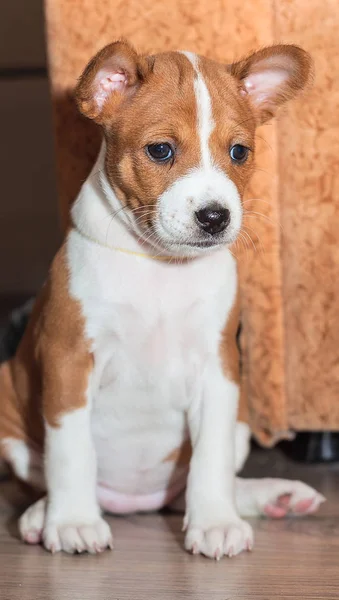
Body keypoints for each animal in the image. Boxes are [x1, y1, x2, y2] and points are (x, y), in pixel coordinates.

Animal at [0, 41, 326, 556]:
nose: (215, 216)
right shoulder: (69, 359)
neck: (161, 268)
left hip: (241, 427)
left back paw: (271, 496)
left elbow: (210, 458)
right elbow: (71, 451)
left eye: (239, 152)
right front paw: (71, 520)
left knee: (194, 487)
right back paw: (40, 515)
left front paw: (214, 521)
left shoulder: (219, 371)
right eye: (160, 150)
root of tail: (135, 501)